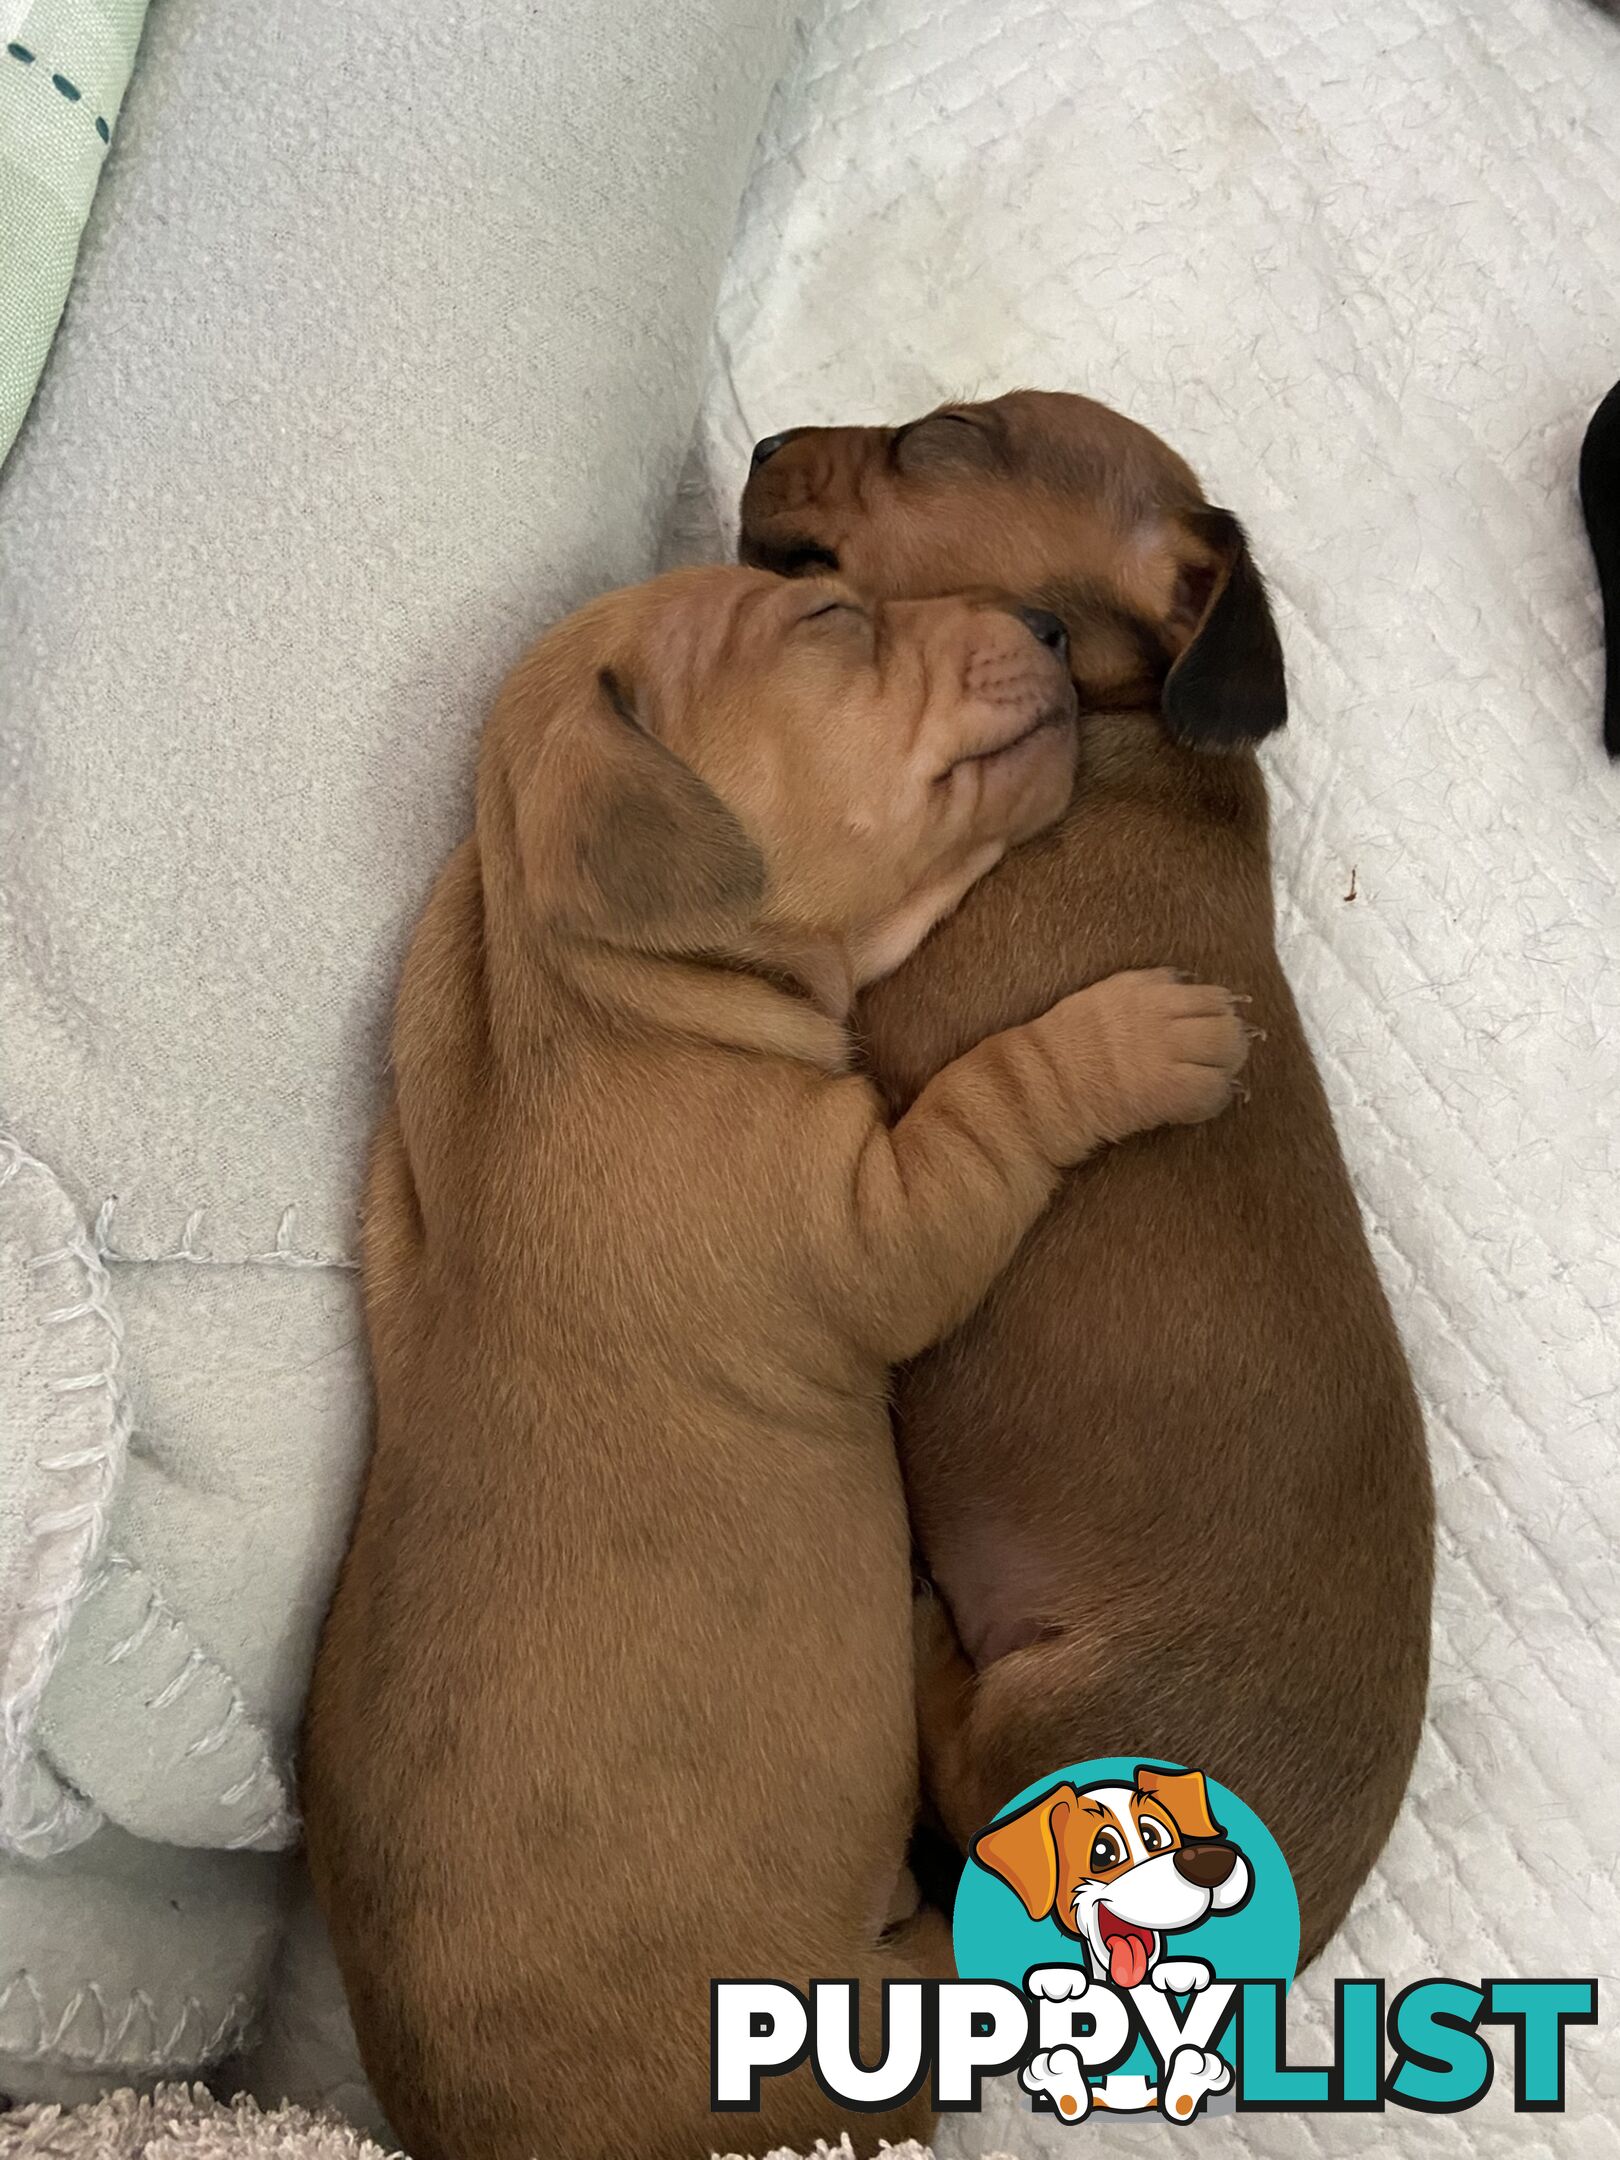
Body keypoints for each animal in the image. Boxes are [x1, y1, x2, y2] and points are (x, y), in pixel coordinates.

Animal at [302, 561, 1252, 2160]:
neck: (575, 990)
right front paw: (1134, 1036)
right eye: (826, 623)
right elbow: (1005, 1092)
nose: (1049, 627)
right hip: (869, 2009)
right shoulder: (887, 1224)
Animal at [743, 393, 1442, 1978]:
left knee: (956, 1761)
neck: (1125, 730)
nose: (757, 448)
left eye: (942, 437)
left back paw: (926, 1630)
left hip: (1047, 1716)